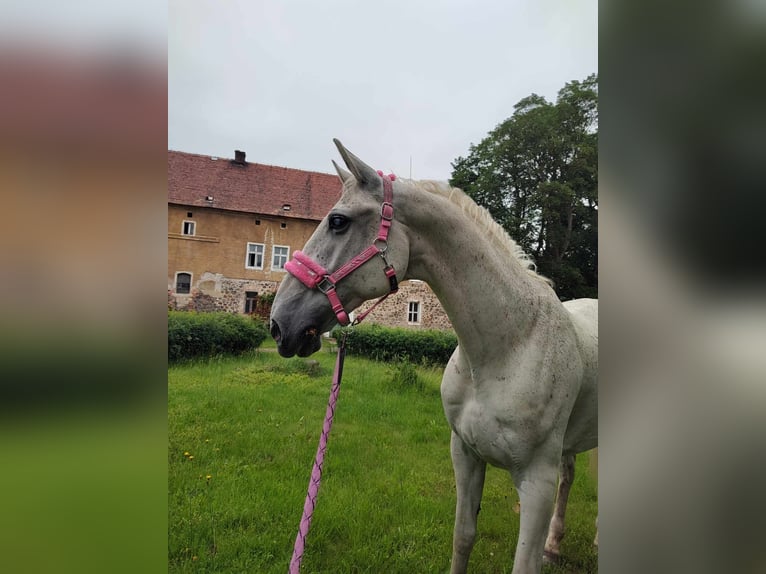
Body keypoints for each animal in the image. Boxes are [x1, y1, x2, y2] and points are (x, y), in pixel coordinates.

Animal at [270, 141, 600, 574]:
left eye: (338, 222)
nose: (279, 323)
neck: (508, 345)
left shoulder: (536, 482)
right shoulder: (465, 455)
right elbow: (463, 537)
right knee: (571, 474)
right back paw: (555, 544)